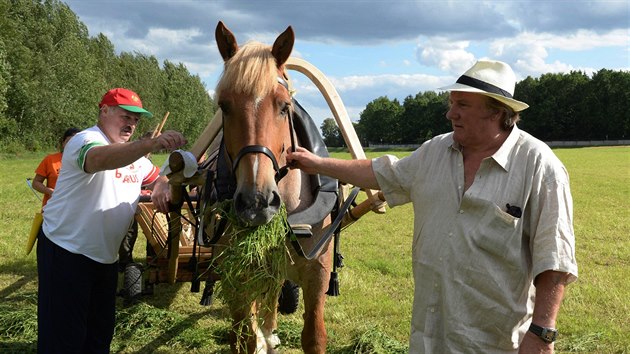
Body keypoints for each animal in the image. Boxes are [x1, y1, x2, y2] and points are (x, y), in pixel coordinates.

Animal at [207, 22, 336, 354]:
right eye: (224, 106)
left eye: (284, 106)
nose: (256, 202)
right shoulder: (237, 276)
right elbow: (243, 338)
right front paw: (257, 336)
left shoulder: (318, 274)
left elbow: (314, 336)